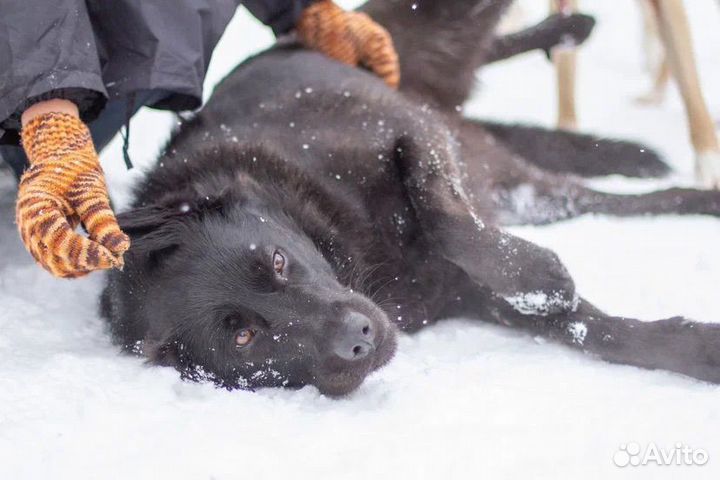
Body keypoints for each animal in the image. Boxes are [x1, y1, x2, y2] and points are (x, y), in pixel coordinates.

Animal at [104, 0, 720, 396]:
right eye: (244, 336)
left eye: (277, 261)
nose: (358, 339)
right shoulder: (468, 290)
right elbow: (594, 329)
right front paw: (698, 350)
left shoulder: (410, 132)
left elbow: (448, 220)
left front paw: (541, 277)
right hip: (526, 190)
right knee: (615, 201)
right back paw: (692, 193)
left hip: (418, 44)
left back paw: (569, 26)